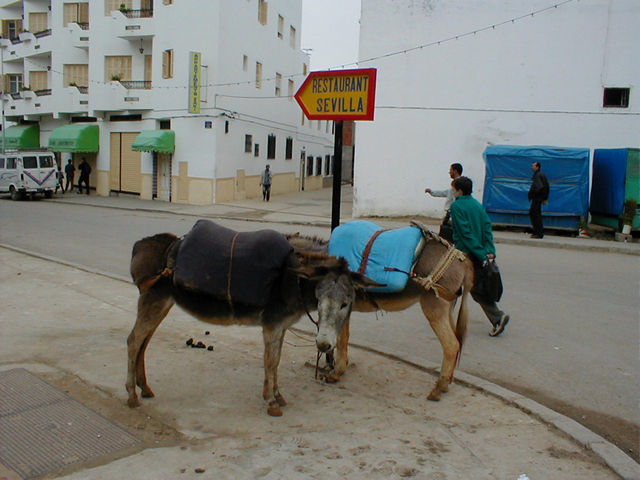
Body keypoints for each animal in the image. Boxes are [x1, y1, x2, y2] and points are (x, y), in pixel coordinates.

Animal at [126, 223, 380, 416]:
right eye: (319, 299)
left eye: (346, 303)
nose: (324, 345)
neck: (290, 278)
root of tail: (141, 245)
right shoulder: (272, 325)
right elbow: (270, 361)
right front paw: (272, 401)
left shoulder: (281, 326)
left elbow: (276, 360)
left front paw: (276, 395)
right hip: (153, 301)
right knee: (134, 341)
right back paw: (131, 395)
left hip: (163, 303)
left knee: (144, 343)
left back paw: (144, 388)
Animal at [288, 225, 474, 401]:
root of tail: (464, 261)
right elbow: (344, 338)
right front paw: (340, 369)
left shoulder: (342, 305)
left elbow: (340, 339)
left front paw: (336, 373)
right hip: (447, 308)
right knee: (457, 341)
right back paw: (447, 382)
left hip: (434, 307)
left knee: (451, 345)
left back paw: (439, 388)